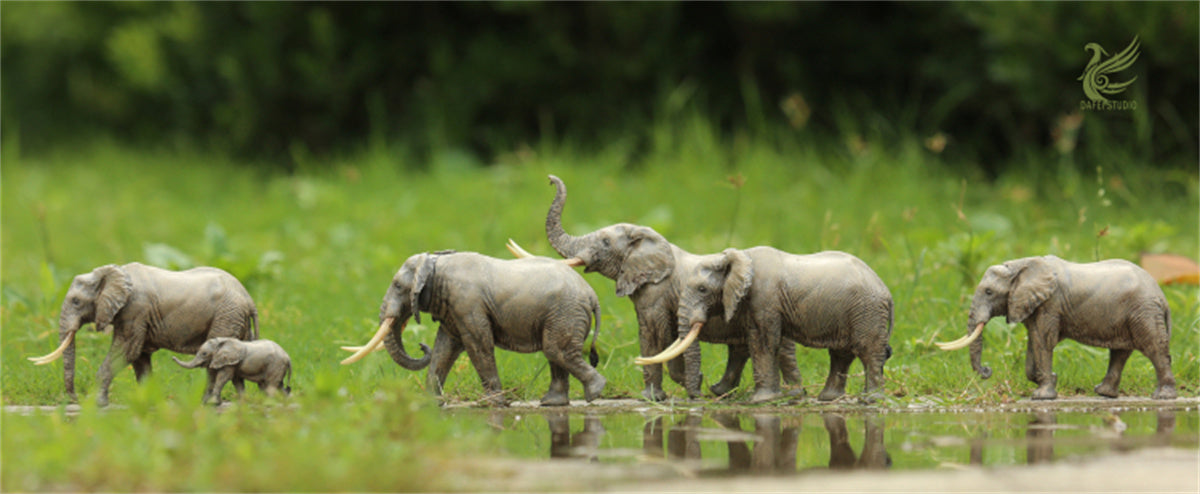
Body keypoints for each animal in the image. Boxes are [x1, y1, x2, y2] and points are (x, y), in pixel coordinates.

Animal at [29, 263, 259, 406]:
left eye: (76, 302)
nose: (74, 400)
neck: (116, 272)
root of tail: (249, 298)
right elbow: (140, 358)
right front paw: (146, 401)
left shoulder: (134, 310)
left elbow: (127, 351)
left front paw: (97, 404)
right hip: (236, 321)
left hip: (226, 317)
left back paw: (207, 403)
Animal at [340, 250, 605, 407]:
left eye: (397, 286)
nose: (420, 345)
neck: (435, 263)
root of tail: (593, 296)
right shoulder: (453, 309)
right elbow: (444, 348)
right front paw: (430, 403)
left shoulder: (467, 304)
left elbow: (478, 344)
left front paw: (493, 403)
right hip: (560, 315)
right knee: (555, 353)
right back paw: (552, 403)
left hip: (566, 312)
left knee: (556, 351)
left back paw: (594, 392)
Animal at [512, 174, 802, 401]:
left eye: (604, 242)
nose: (550, 179)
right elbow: (662, 336)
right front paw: (683, 386)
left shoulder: (656, 293)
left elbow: (655, 334)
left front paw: (659, 395)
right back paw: (725, 391)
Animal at [639, 248, 895, 403]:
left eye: (702, 289)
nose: (698, 396)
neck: (739, 258)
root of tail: (887, 291)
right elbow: (771, 342)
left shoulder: (764, 298)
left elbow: (762, 341)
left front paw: (761, 400)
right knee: (841, 354)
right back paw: (829, 398)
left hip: (867, 312)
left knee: (867, 351)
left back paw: (870, 400)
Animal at [936, 255, 1177, 400]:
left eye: (988, 292)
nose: (987, 370)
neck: (1020, 265)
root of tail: (1162, 297)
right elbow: (1034, 341)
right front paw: (1049, 378)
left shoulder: (1050, 304)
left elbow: (1043, 340)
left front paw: (1041, 395)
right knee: (1120, 352)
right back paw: (1104, 393)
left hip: (1143, 312)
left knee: (1154, 348)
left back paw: (1163, 396)